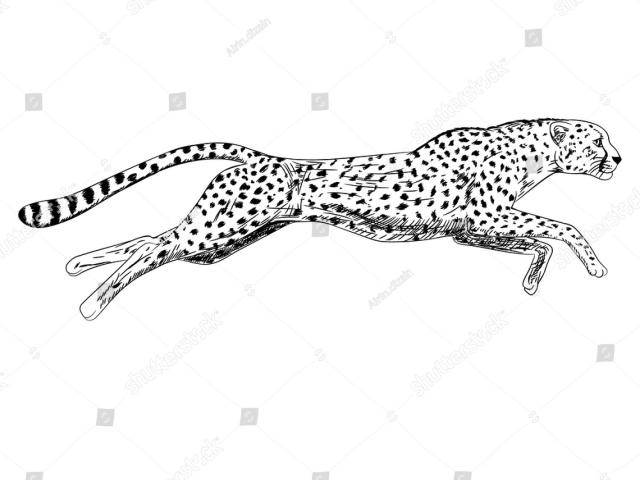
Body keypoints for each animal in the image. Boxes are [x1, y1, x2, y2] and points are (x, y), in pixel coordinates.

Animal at [19, 118, 622, 320]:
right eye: (597, 141)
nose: (618, 158)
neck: (532, 148)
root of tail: (257, 156)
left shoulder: (473, 231)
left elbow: (541, 241)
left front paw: (533, 280)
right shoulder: (487, 215)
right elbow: (563, 227)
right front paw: (595, 266)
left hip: (220, 239)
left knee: (151, 239)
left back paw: (78, 267)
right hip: (219, 229)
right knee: (151, 246)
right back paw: (92, 303)